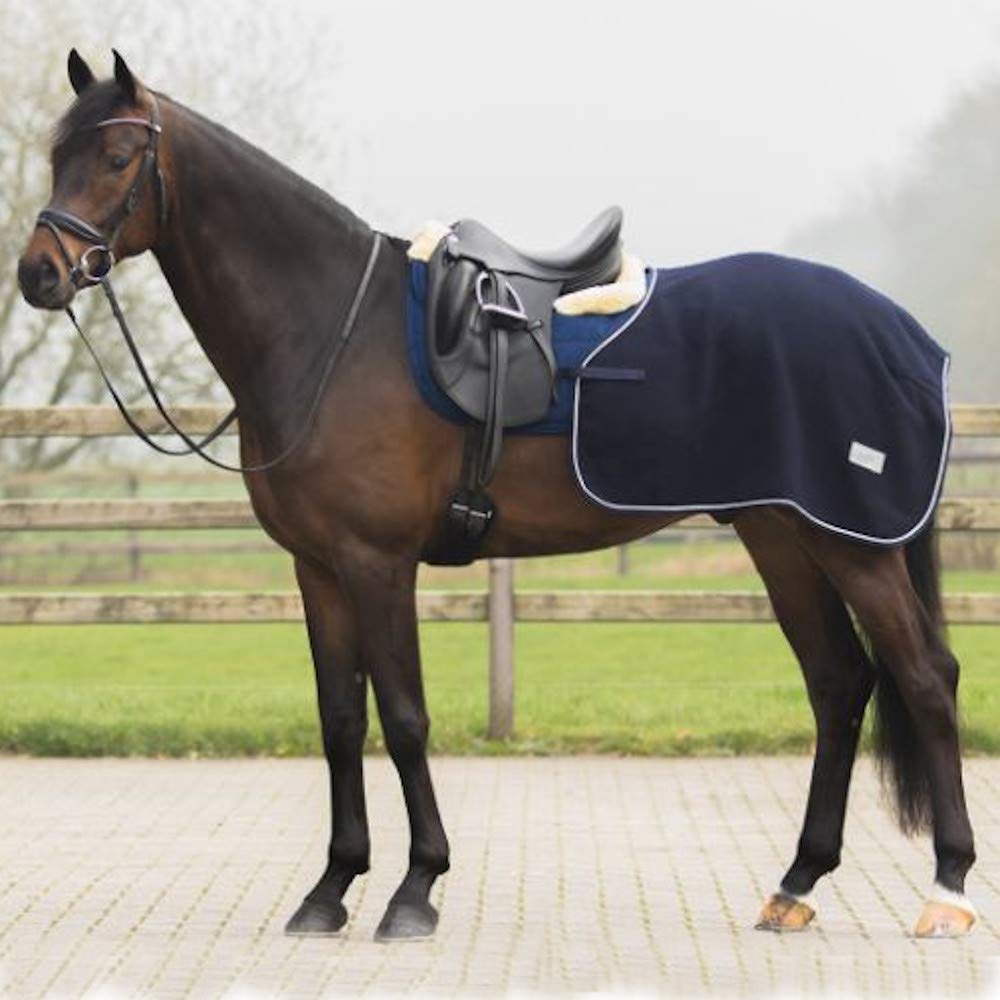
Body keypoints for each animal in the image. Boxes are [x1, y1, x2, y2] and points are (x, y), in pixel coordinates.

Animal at [16, 51, 977, 941]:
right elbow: (339, 719)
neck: (332, 331)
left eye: (115, 158)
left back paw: (948, 889)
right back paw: (797, 883)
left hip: (854, 546)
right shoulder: (318, 570)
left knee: (925, 678)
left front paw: (414, 889)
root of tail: (898, 330)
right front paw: (331, 889)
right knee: (838, 683)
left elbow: (404, 717)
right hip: (781, 536)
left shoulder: (378, 563)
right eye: (55, 154)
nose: (39, 275)